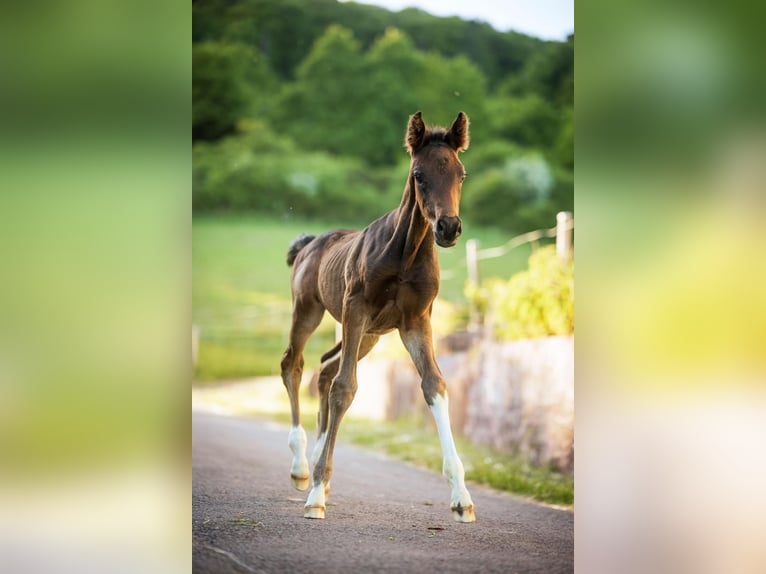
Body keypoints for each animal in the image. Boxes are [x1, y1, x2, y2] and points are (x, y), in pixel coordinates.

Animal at [280, 111, 475, 523]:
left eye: (461, 173)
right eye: (419, 174)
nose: (448, 228)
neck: (405, 252)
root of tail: (310, 242)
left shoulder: (416, 321)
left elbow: (434, 385)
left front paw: (462, 499)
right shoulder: (357, 309)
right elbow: (345, 387)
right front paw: (316, 495)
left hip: (370, 334)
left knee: (325, 366)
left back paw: (317, 460)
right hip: (309, 310)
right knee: (295, 364)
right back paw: (302, 468)